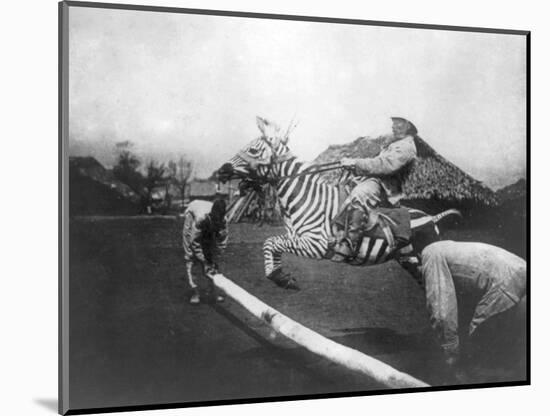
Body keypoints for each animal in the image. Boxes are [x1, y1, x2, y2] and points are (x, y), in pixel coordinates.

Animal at [218, 118, 460, 290]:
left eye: (252, 150)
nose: (221, 170)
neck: (308, 198)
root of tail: (432, 217)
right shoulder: (295, 238)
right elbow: (271, 244)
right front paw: (281, 277)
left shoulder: (315, 245)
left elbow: (272, 242)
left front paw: (279, 276)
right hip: (410, 260)